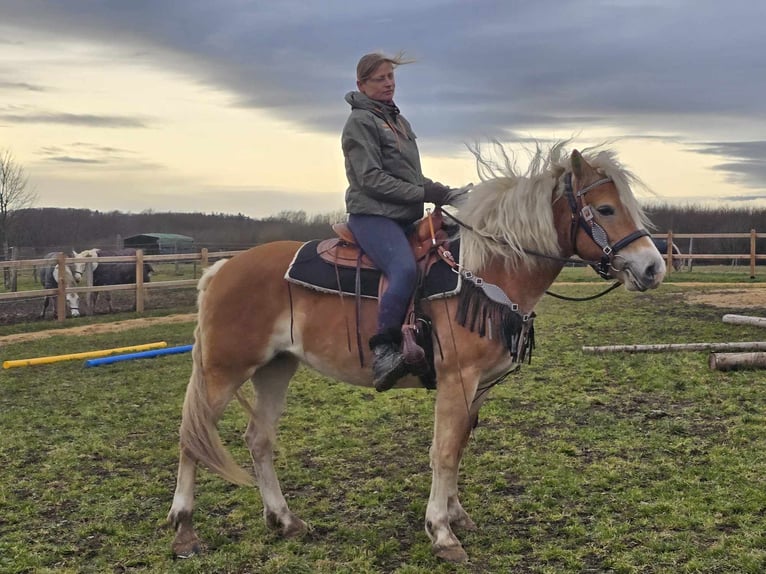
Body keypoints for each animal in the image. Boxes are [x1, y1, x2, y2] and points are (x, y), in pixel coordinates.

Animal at [166, 142, 664, 564]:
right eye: (605, 209)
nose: (653, 268)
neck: (487, 271)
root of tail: (221, 269)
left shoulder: (480, 385)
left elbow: (458, 446)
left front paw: (456, 515)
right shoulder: (457, 378)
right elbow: (442, 451)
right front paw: (442, 533)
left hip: (275, 369)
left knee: (258, 439)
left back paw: (285, 520)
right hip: (223, 371)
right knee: (193, 439)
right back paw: (185, 531)